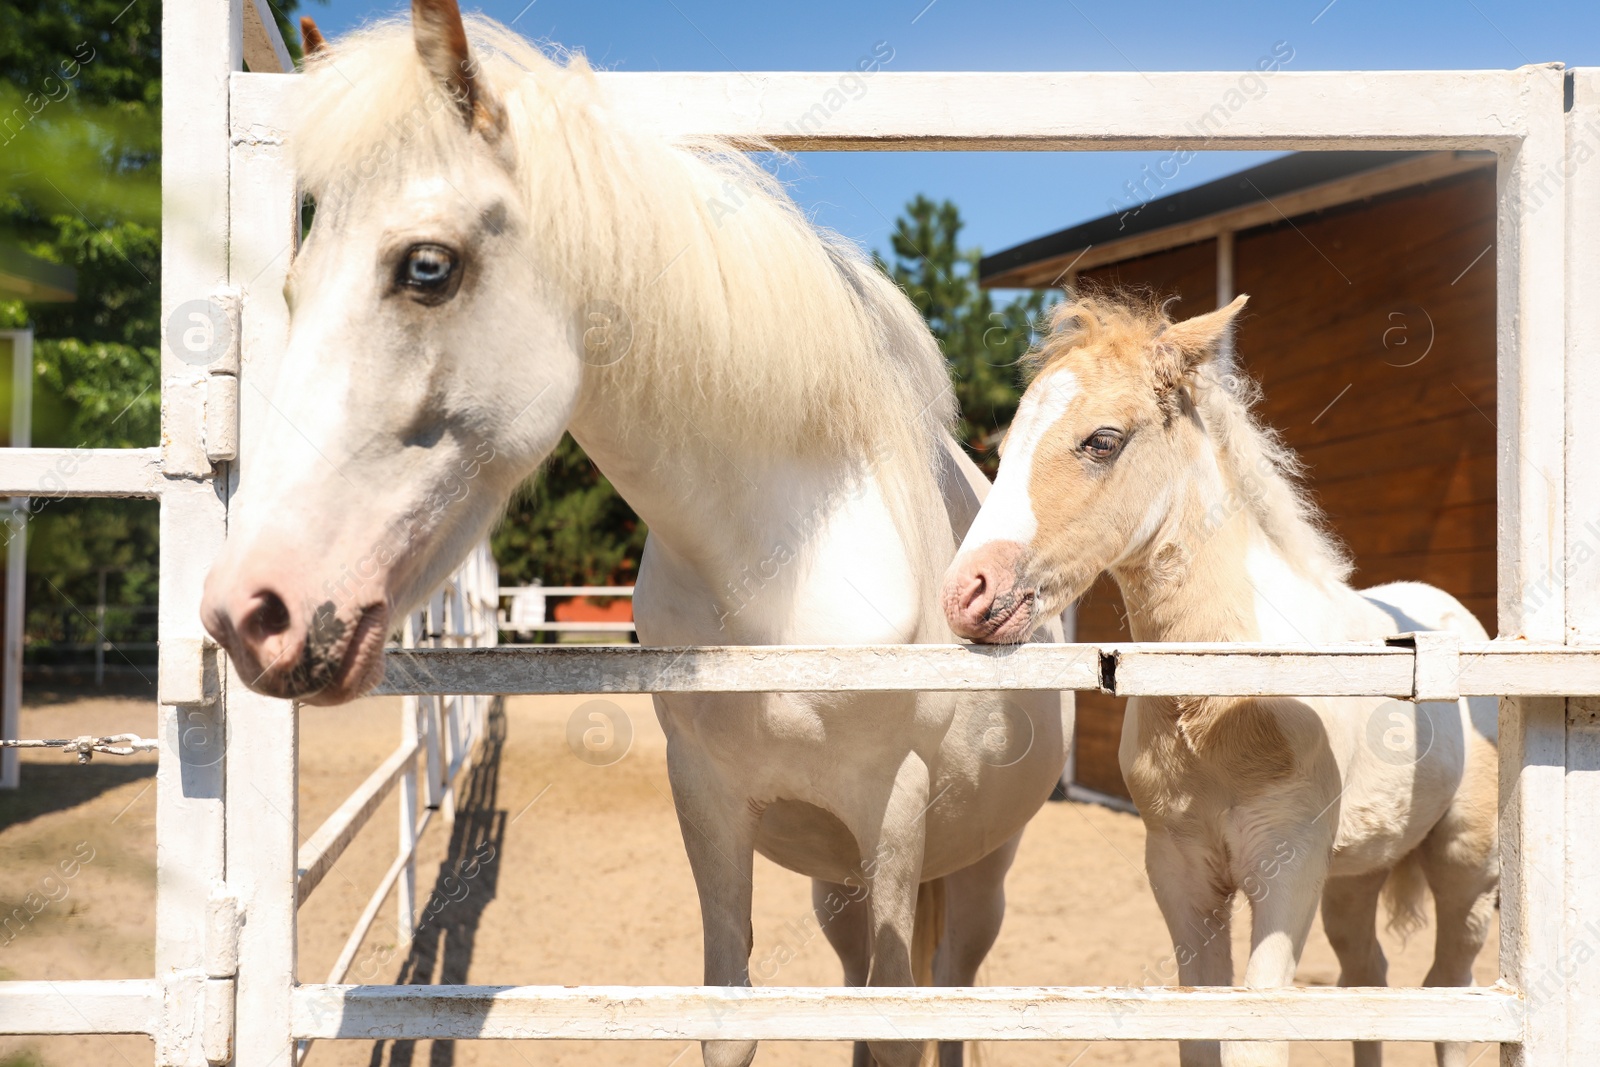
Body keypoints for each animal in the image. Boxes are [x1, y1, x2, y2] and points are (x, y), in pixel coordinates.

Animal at [203, 4, 1075, 1062]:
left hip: (981, 864)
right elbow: (730, 1019)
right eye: (294, 285)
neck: (782, 576)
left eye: (427, 269)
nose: (251, 609)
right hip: (840, 887)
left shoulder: (895, 812)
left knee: (954, 991)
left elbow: (896, 1033)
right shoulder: (708, 801)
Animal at [934, 294, 1497, 1067]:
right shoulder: (1181, 873)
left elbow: (1259, 1038)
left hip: (1465, 862)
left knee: (1450, 992)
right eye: (1007, 440)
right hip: (1356, 872)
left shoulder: (1287, 869)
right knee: (1367, 975)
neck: (1225, 708)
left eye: (1102, 441)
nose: (967, 593)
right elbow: (1201, 1034)